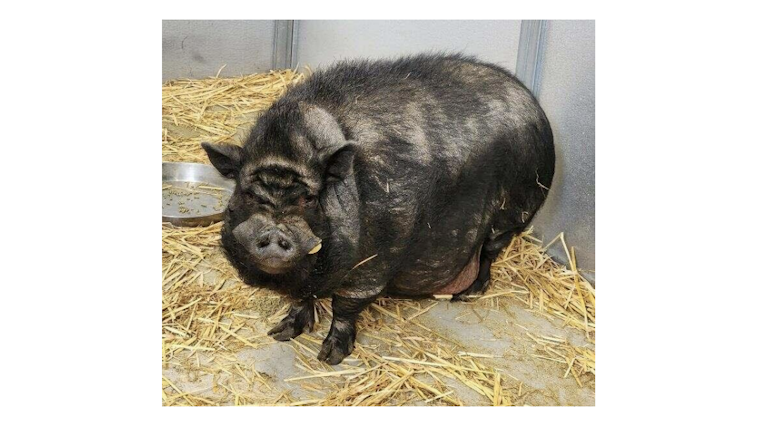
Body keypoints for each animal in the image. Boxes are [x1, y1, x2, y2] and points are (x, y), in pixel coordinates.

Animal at [201, 53, 554, 365]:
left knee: (490, 253)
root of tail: (533, 102)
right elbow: (303, 298)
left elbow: (346, 305)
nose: (274, 232)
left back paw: (466, 295)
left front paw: (330, 358)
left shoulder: (379, 257)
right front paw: (280, 333)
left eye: (309, 199)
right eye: (248, 194)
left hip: (515, 211)